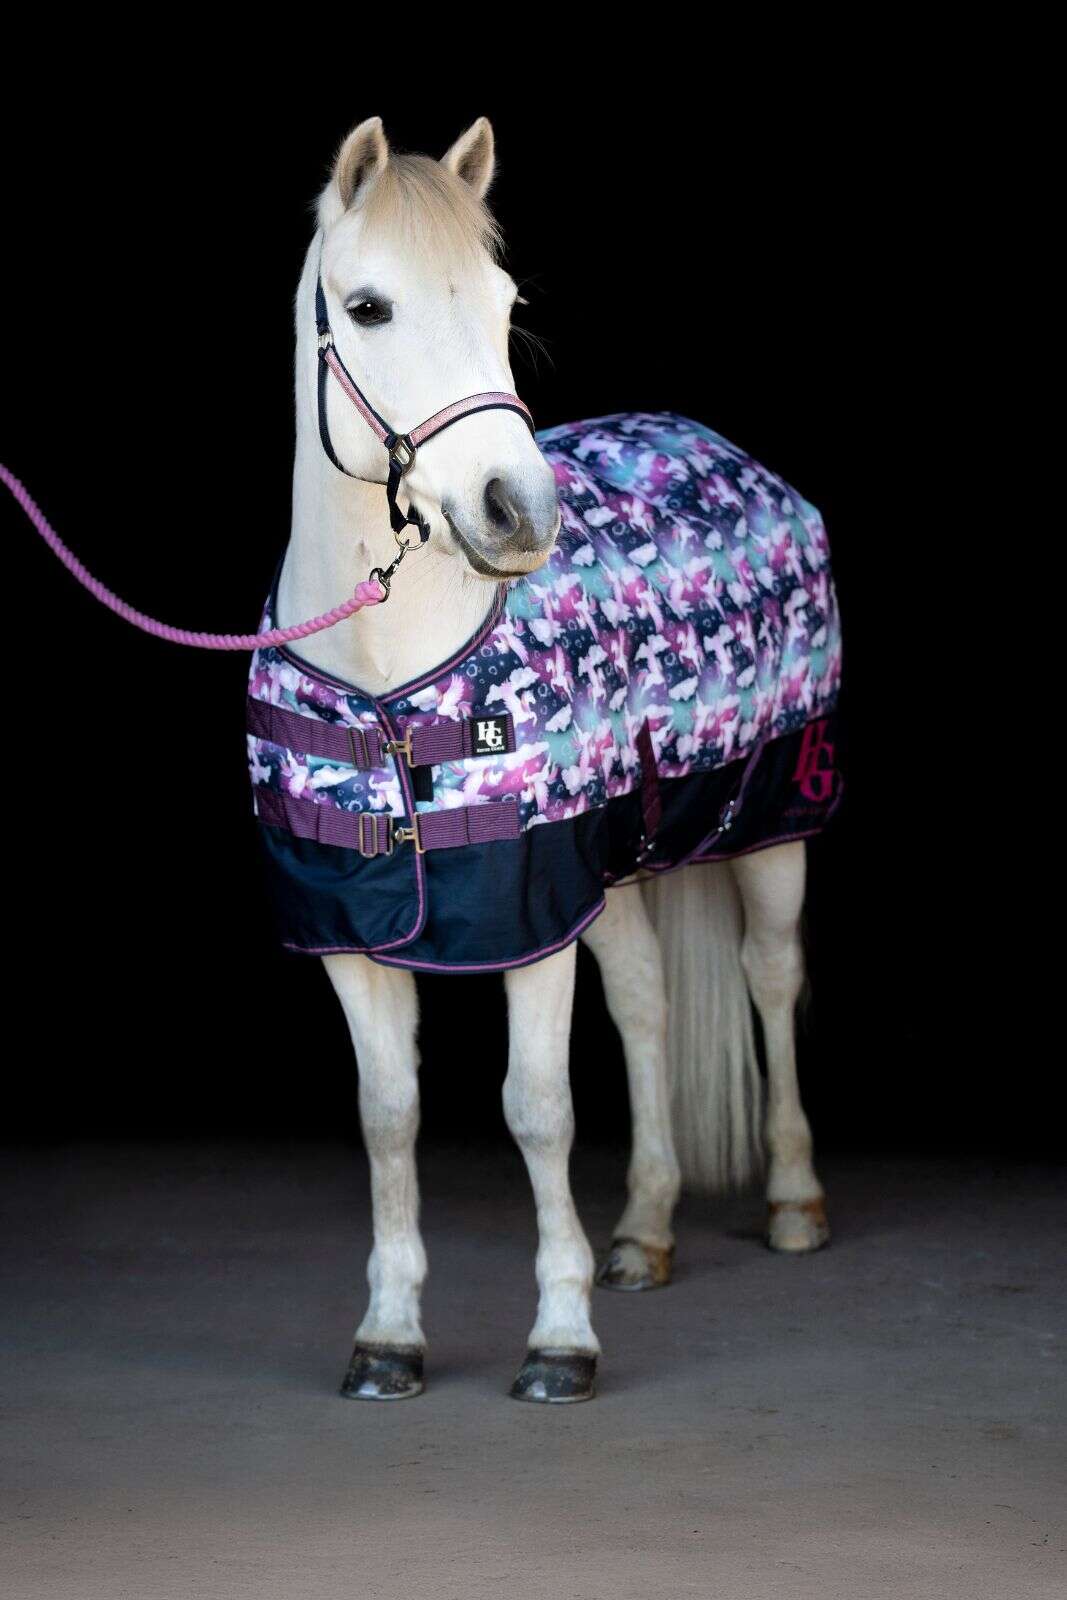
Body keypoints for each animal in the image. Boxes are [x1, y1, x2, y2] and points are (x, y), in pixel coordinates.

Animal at [256, 115, 839, 1405]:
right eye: (366, 306)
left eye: (504, 299)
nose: (517, 511)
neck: (389, 683)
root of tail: (715, 447)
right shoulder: (356, 925)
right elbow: (387, 1113)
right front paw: (387, 1335)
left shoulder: (527, 915)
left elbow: (536, 1107)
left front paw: (560, 1339)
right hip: (610, 870)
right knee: (647, 1002)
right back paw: (645, 1230)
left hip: (773, 813)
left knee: (771, 977)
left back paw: (791, 1201)